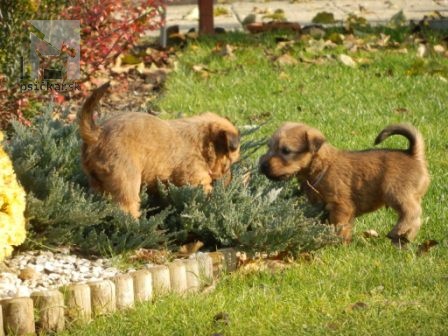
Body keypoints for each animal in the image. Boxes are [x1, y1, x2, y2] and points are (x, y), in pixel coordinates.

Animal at [79, 82, 240, 218]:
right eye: (228, 162)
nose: (228, 181)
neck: (202, 143)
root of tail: (97, 134)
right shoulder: (196, 177)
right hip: (126, 178)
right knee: (127, 206)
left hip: (96, 180)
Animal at [260, 121, 430, 244]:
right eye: (269, 147)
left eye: (286, 151)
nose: (262, 165)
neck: (321, 167)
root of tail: (413, 155)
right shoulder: (321, 206)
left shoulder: (341, 206)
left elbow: (339, 226)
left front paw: (337, 243)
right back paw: (404, 238)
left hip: (397, 192)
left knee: (413, 212)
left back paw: (399, 231)